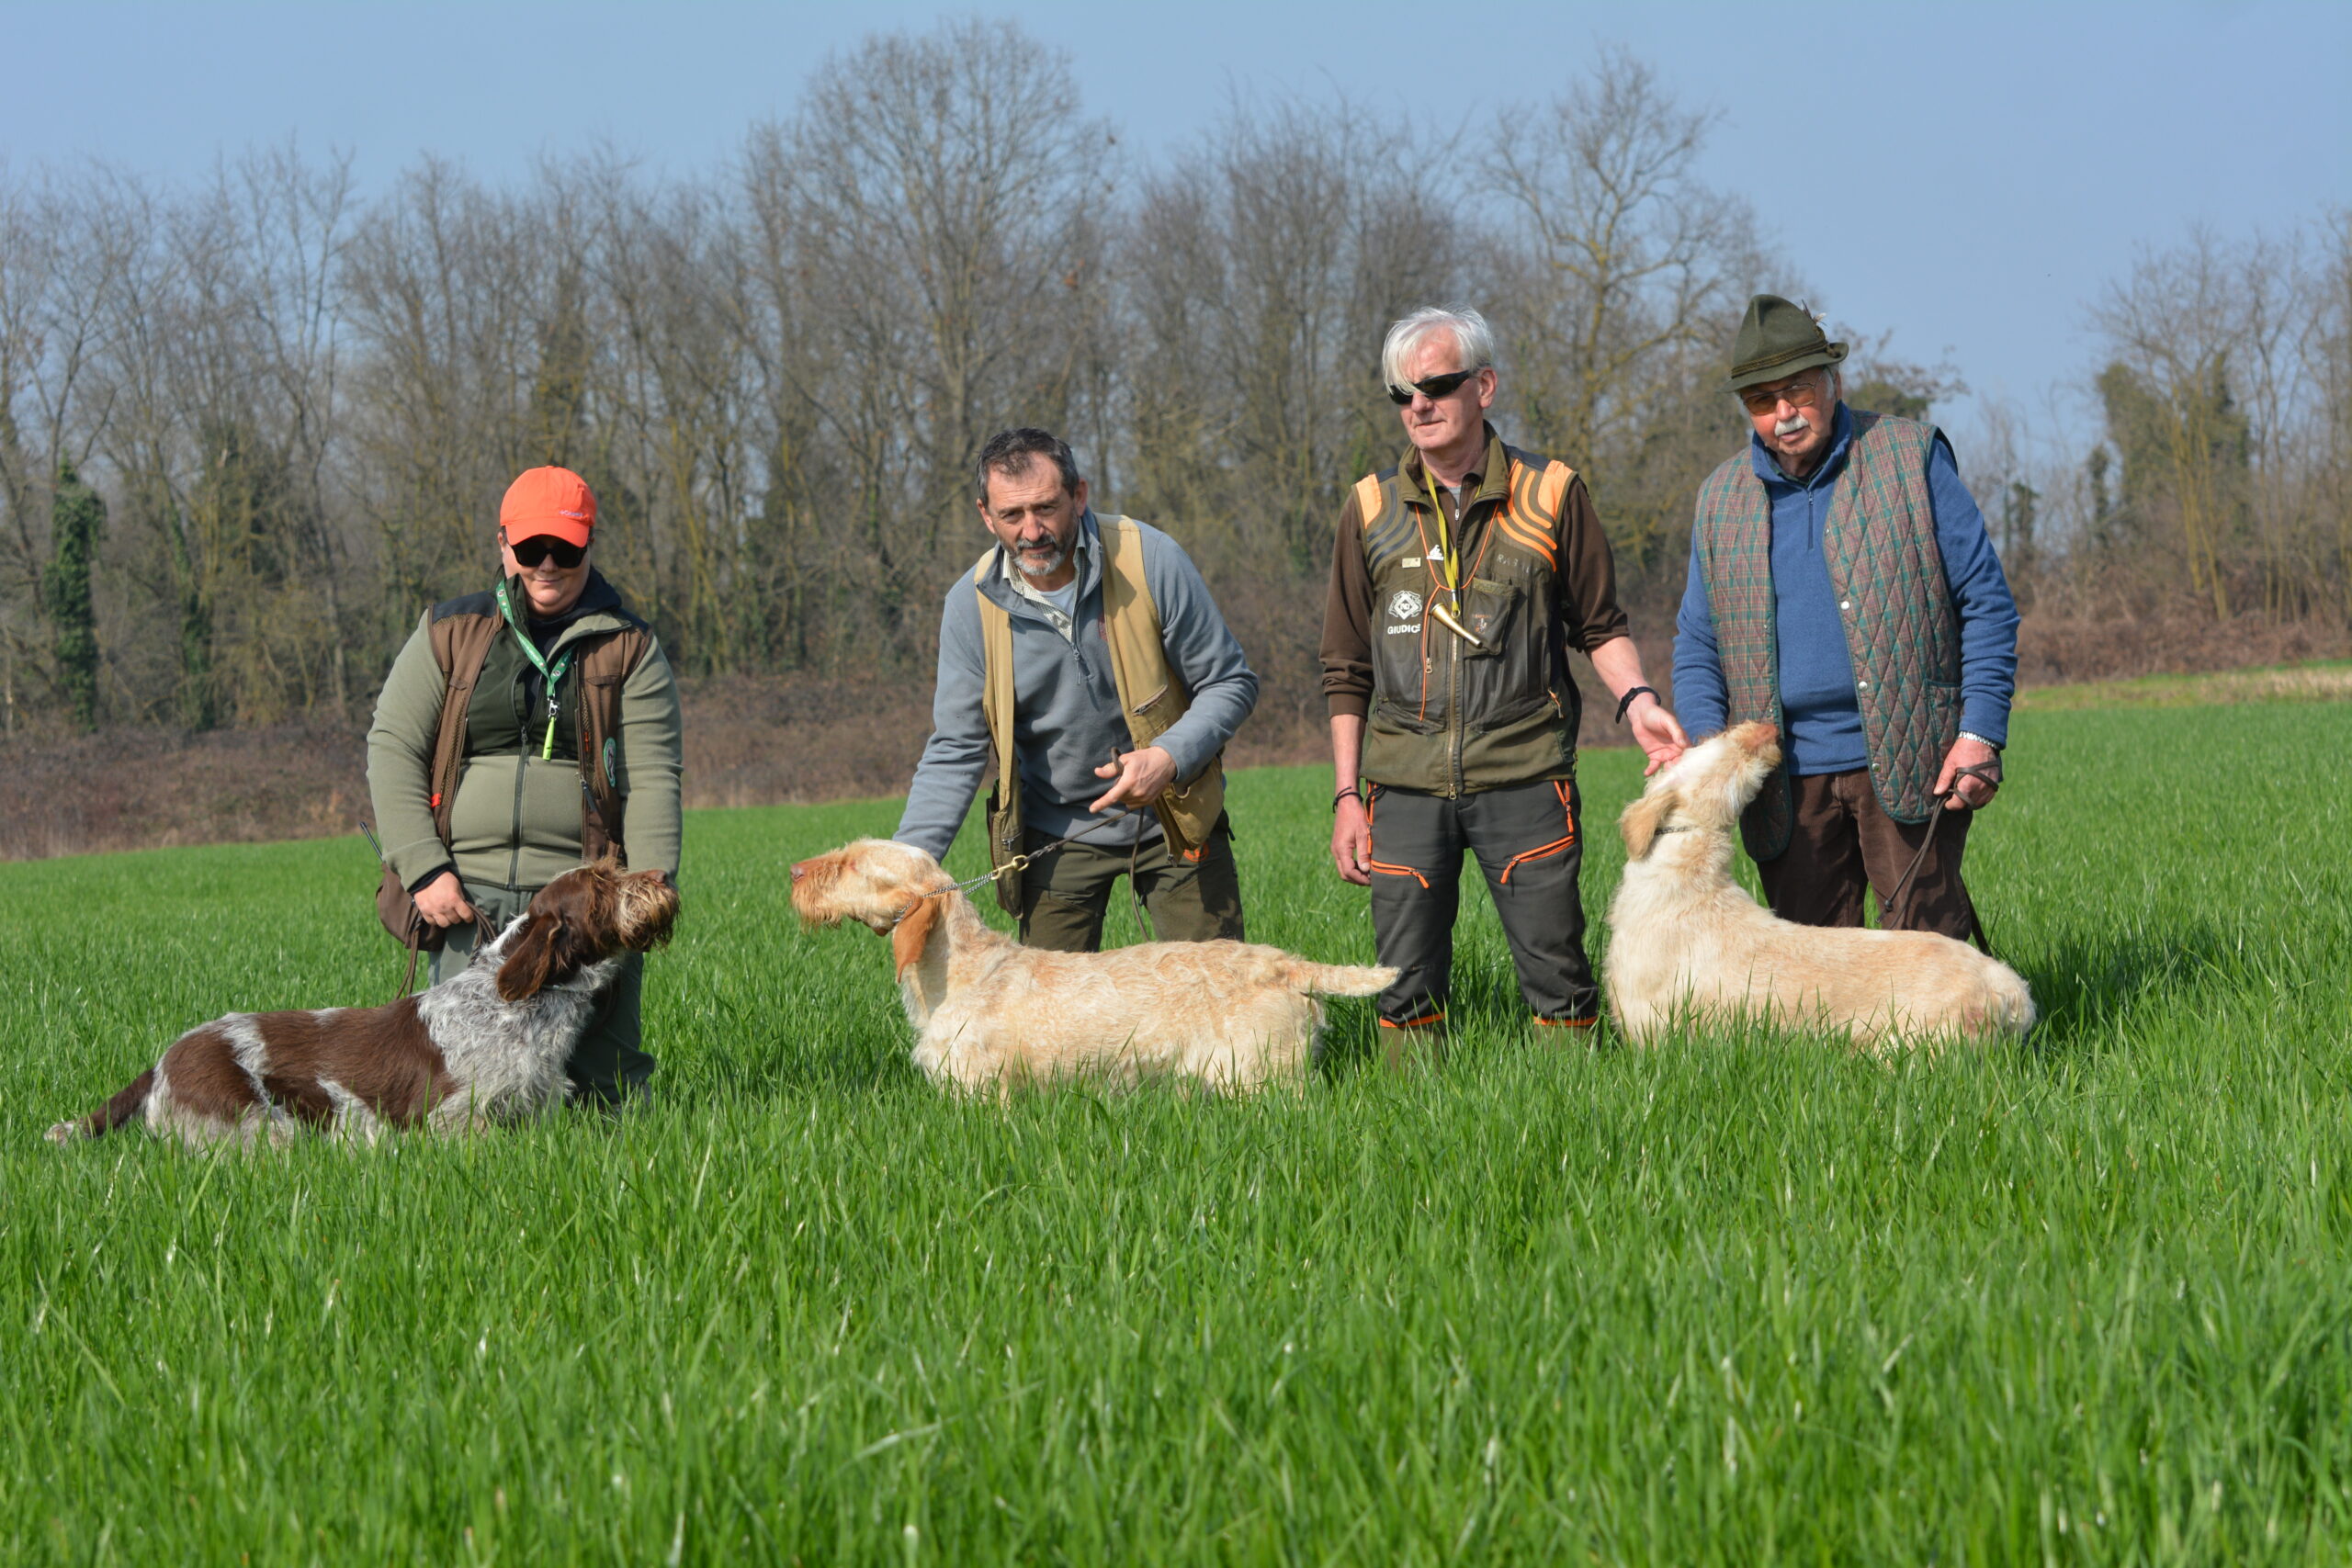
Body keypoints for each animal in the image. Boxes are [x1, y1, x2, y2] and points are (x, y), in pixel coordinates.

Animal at [47, 860, 679, 1147]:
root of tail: (162, 1061)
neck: (514, 1009)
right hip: (261, 1128)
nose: (660, 878)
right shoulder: (454, 1119)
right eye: (601, 888)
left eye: (613, 869)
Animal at [790, 838, 1397, 1092]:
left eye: (852, 865)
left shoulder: (981, 1086)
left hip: (1260, 1076)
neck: (957, 969)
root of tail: (1285, 963)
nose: (794, 871)